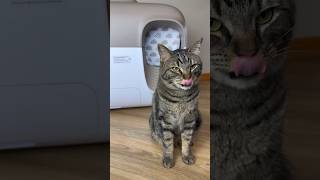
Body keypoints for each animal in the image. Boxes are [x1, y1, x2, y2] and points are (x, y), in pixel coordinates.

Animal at [149, 38, 202, 168]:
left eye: (193, 66)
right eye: (176, 69)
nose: (187, 77)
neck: (181, 97)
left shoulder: (190, 118)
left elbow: (186, 139)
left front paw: (186, 155)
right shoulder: (165, 120)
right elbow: (168, 142)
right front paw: (168, 158)